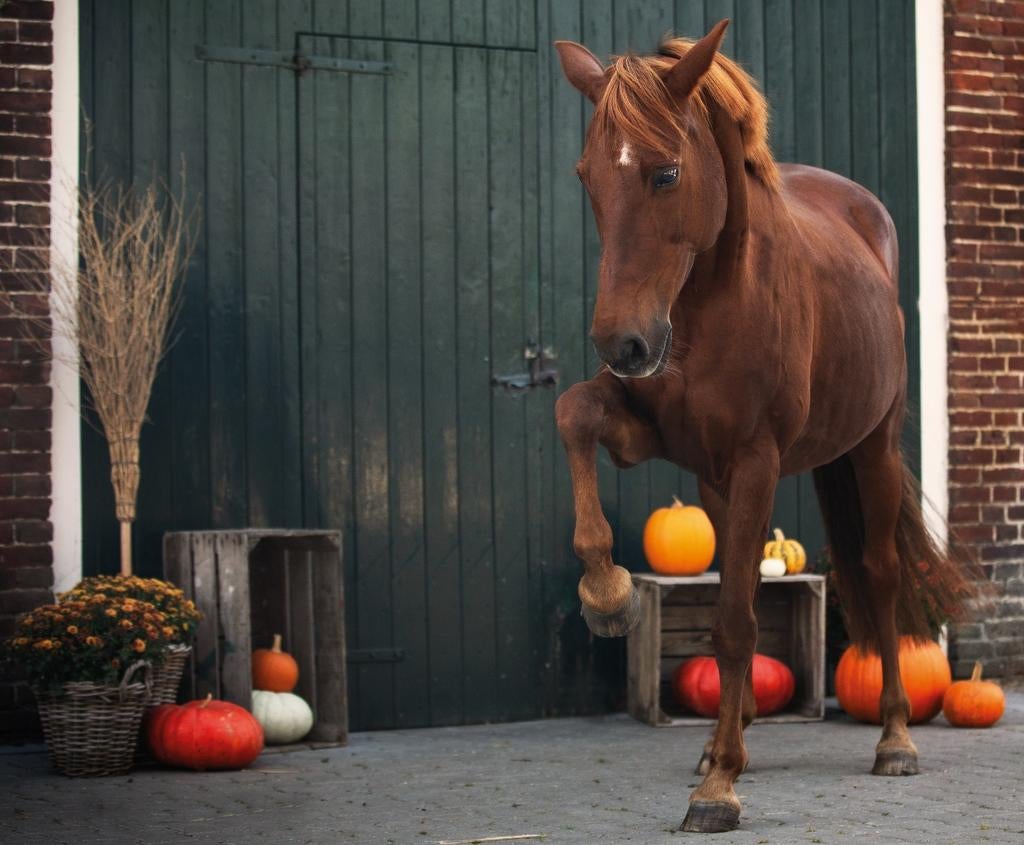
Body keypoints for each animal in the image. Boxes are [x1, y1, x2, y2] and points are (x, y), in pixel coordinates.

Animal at [553, 19, 970, 834]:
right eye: (587, 177)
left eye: (665, 174)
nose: (622, 344)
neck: (715, 303)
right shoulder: (655, 435)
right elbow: (574, 411)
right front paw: (606, 591)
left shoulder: (756, 461)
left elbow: (738, 622)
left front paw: (719, 791)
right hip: (717, 482)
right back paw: (731, 734)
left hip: (871, 449)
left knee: (879, 575)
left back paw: (894, 737)